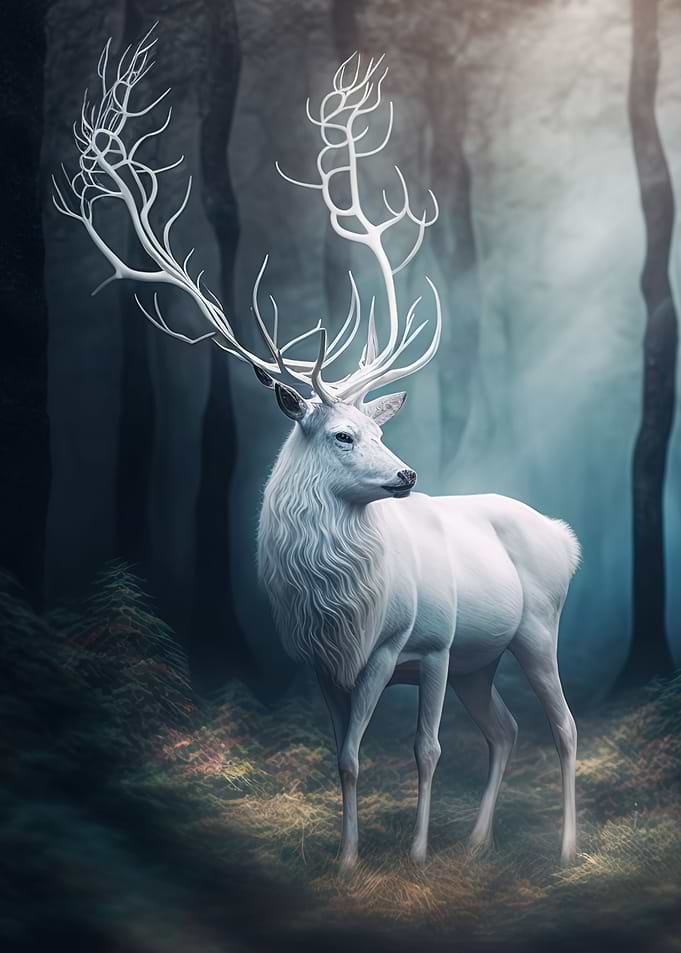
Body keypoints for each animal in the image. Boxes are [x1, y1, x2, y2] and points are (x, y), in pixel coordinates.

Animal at [54, 27, 580, 870]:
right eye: (343, 433)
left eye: (382, 430)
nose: (406, 472)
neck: (342, 606)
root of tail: (565, 536)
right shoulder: (324, 666)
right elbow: (346, 757)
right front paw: (347, 858)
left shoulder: (422, 645)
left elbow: (425, 751)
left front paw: (415, 855)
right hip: (481, 658)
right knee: (503, 729)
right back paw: (477, 843)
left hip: (533, 629)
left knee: (560, 727)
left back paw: (562, 849)